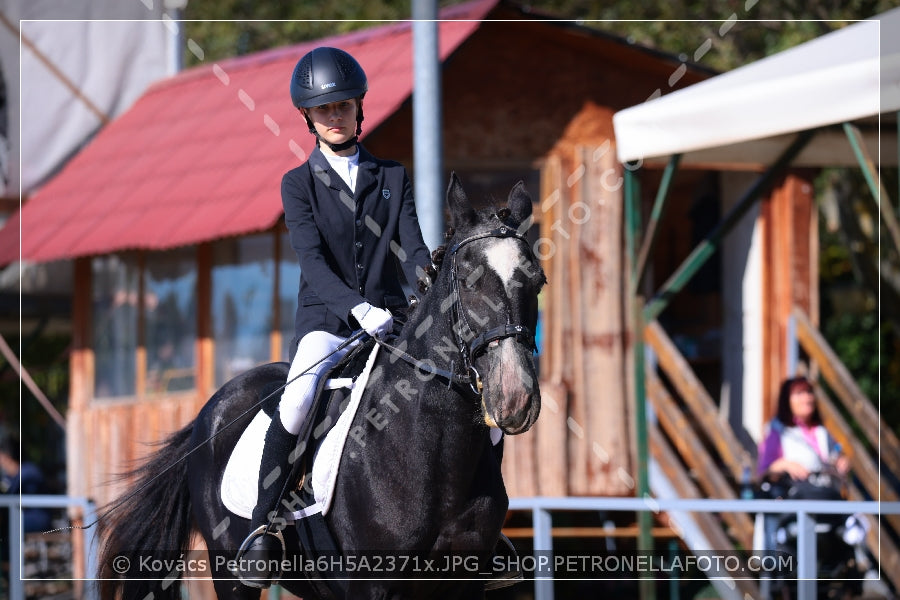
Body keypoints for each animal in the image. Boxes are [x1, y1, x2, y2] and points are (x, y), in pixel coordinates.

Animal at [98, 175, 548, 600]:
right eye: (469, 280)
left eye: (539, 281)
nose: (515, 397)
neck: (434, 453)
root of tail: (211, 409)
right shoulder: (372, 587)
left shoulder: (464, 585)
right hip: (230, 576)